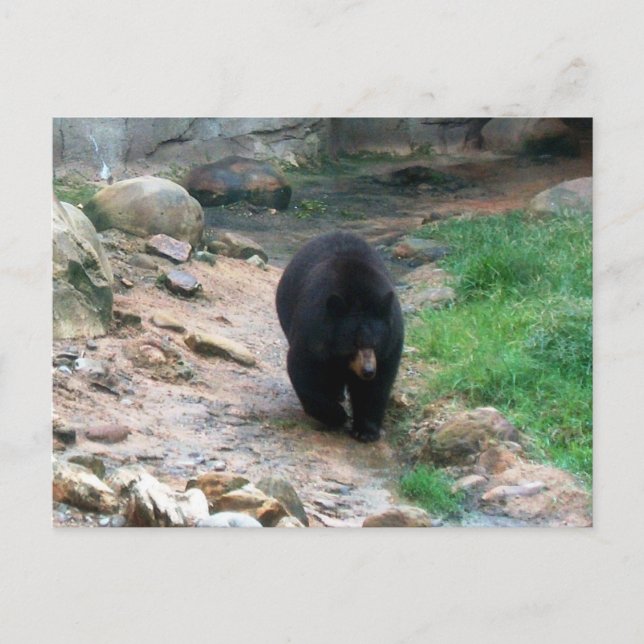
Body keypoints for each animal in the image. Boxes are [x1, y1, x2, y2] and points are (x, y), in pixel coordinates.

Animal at [276, 231, 404, 442]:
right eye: (352, 345)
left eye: (375, 344)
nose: (367, 371)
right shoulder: (313, 331)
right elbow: (304, 370)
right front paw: (336, 415)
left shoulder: (391, 343)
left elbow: (377, 385)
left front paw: (366, 431)